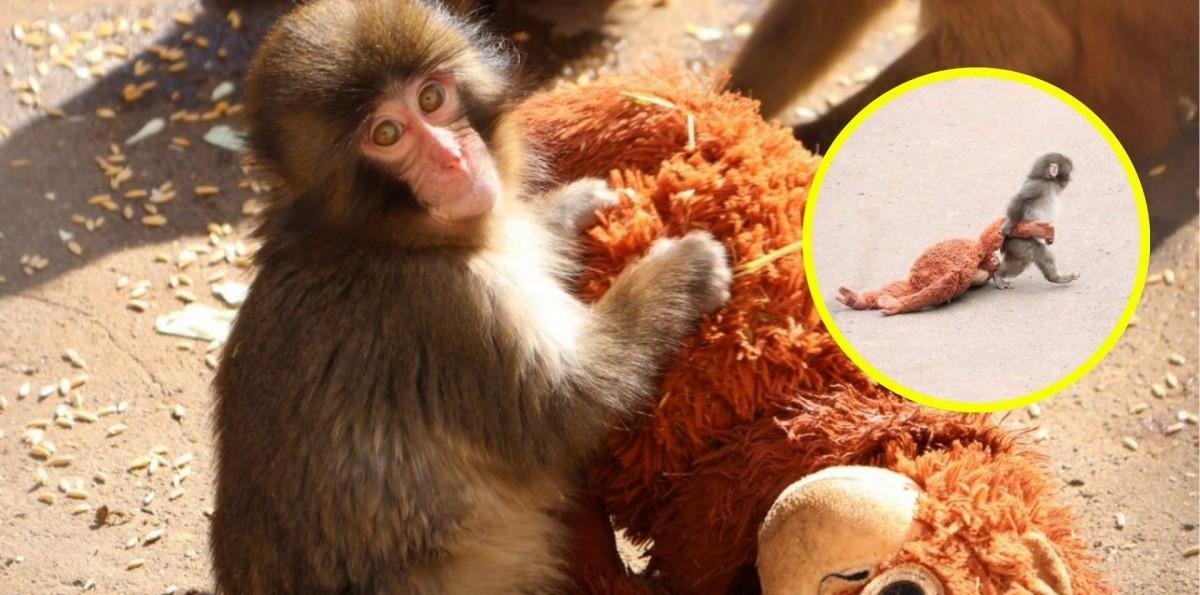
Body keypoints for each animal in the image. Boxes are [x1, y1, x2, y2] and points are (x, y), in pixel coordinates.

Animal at [209, 1, 732, 594]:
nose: (452, 158)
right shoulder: (447, 307)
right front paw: (681, 271)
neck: (374, 238)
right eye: (386, 133)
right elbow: (565, 407)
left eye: (431, 100)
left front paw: (570, 208)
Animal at [993, 153, 1079, 289]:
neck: (1045, 180)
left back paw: (1057, 278)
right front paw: (1009, 224)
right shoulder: (1038, 186)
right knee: (1031, 255)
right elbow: (1021, 199)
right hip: (1019, 242)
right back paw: (998, 275)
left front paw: (1050, 239)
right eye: (1069, 172)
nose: (1070, 179)